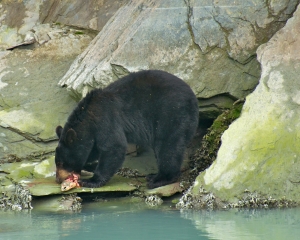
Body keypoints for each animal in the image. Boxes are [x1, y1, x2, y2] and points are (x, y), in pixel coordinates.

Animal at [54, 70, 198, 188]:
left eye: (61, 163)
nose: (58, 179)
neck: (88, 114)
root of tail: (193, 98)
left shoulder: (106, 119)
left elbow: (114, 146)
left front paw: (91, 181)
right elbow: (93, 149)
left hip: (171, 114)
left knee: (168, 146)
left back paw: (159, 179)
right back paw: (153, 175)